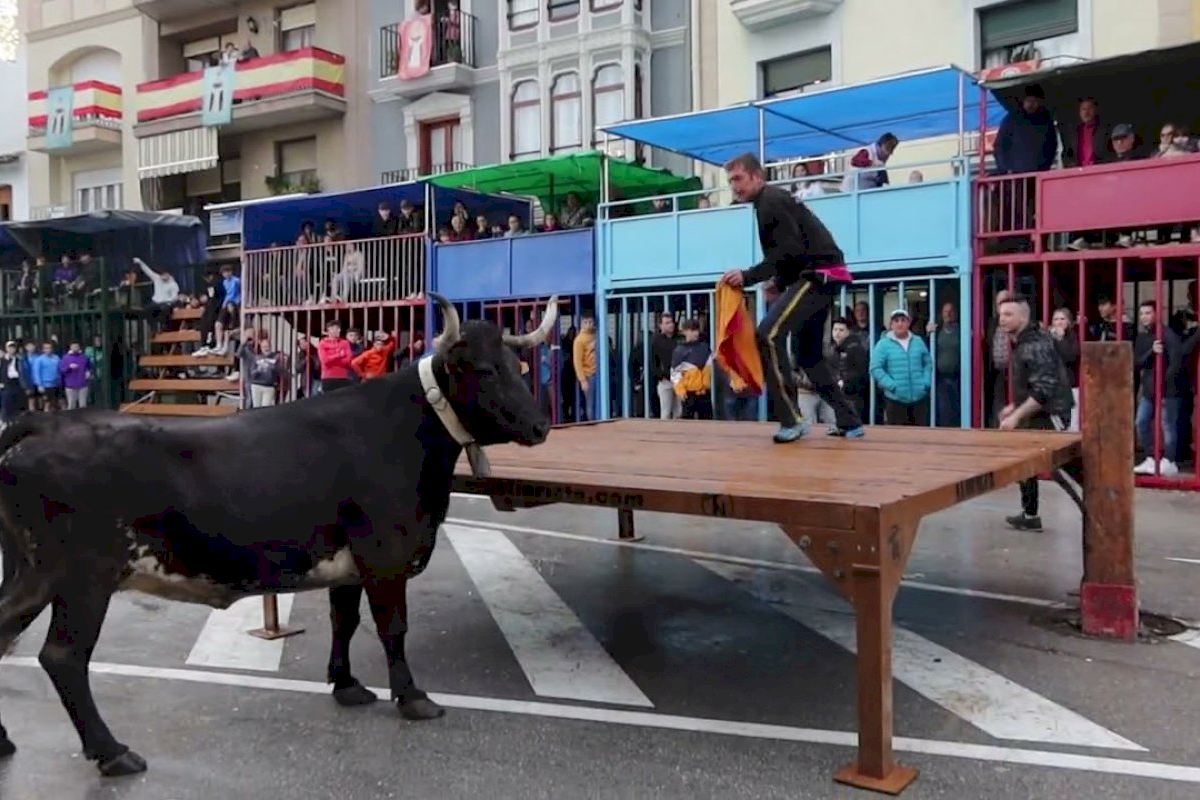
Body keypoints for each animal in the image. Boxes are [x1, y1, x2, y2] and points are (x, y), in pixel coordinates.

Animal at [0, 293, 554, 777]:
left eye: (519, 366)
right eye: (485, 369)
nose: (541, 426)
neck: (402, 429)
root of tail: (46, 424)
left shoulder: (348, 563)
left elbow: (344, 621)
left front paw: (346, 685)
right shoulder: (386, 554)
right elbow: (393, 628)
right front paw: (413, 697)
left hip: (34, 573)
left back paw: (7, 741)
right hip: (83, 578)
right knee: (64, 658)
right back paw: (112, 752)